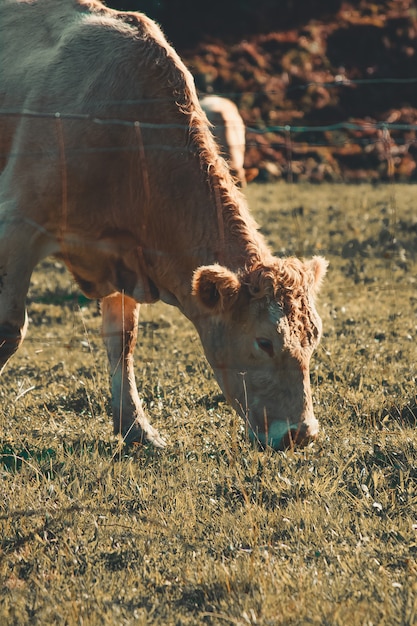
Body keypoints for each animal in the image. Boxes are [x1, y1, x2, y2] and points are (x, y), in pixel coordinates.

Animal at [0, 0, 326, 448]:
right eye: (264, 342)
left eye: (314, 337)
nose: (302, 433)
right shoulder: (16, 223)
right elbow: (9, 329)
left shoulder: (123, 251)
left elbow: (122, 340)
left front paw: (136, 428)